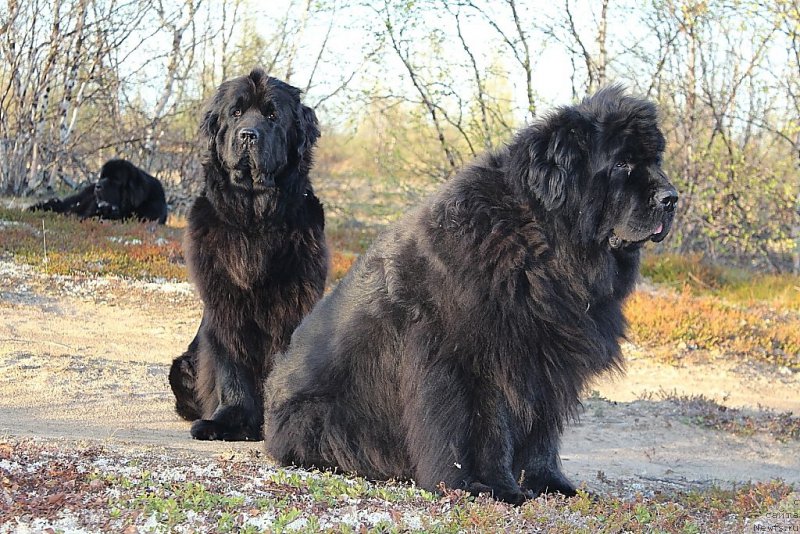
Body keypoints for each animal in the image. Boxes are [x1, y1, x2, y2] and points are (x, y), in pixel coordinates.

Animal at [169, 68, 328, 444]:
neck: (254, 219)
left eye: (272, 115)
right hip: (182, 365)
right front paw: (229, 421)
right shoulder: (225, 306)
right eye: (236, 112)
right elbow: (232, 368)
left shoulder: (293, 307)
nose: (247, 136)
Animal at [266, 87, 680, 502]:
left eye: (654, 160)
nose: (671, 197)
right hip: (327, 419)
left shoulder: (546, 360)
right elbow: (484, 429)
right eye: (622, 163)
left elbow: (543, 431)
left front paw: (552, 484)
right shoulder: (475, 362)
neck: (541, 242)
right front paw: (492, 487)